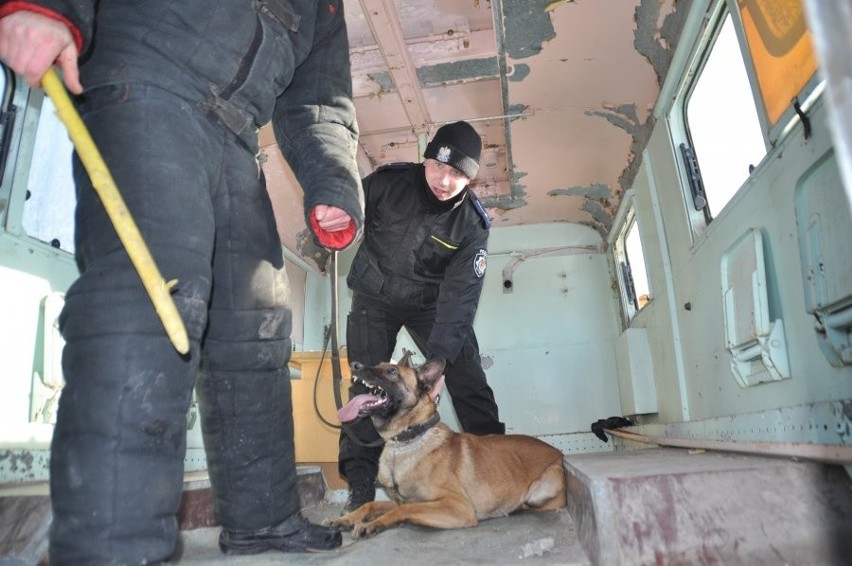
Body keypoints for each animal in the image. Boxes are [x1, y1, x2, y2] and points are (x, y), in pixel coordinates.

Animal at [328, 358, 564, 540]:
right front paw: (346, 519)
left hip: (541, 490)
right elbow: (371, 505)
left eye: (392, 371)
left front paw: (372, 524)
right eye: (378, 364)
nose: (355, 365)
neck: (404, 442)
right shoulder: (399, 500)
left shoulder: (458, 507)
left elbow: (408, 508)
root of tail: (559, 454)